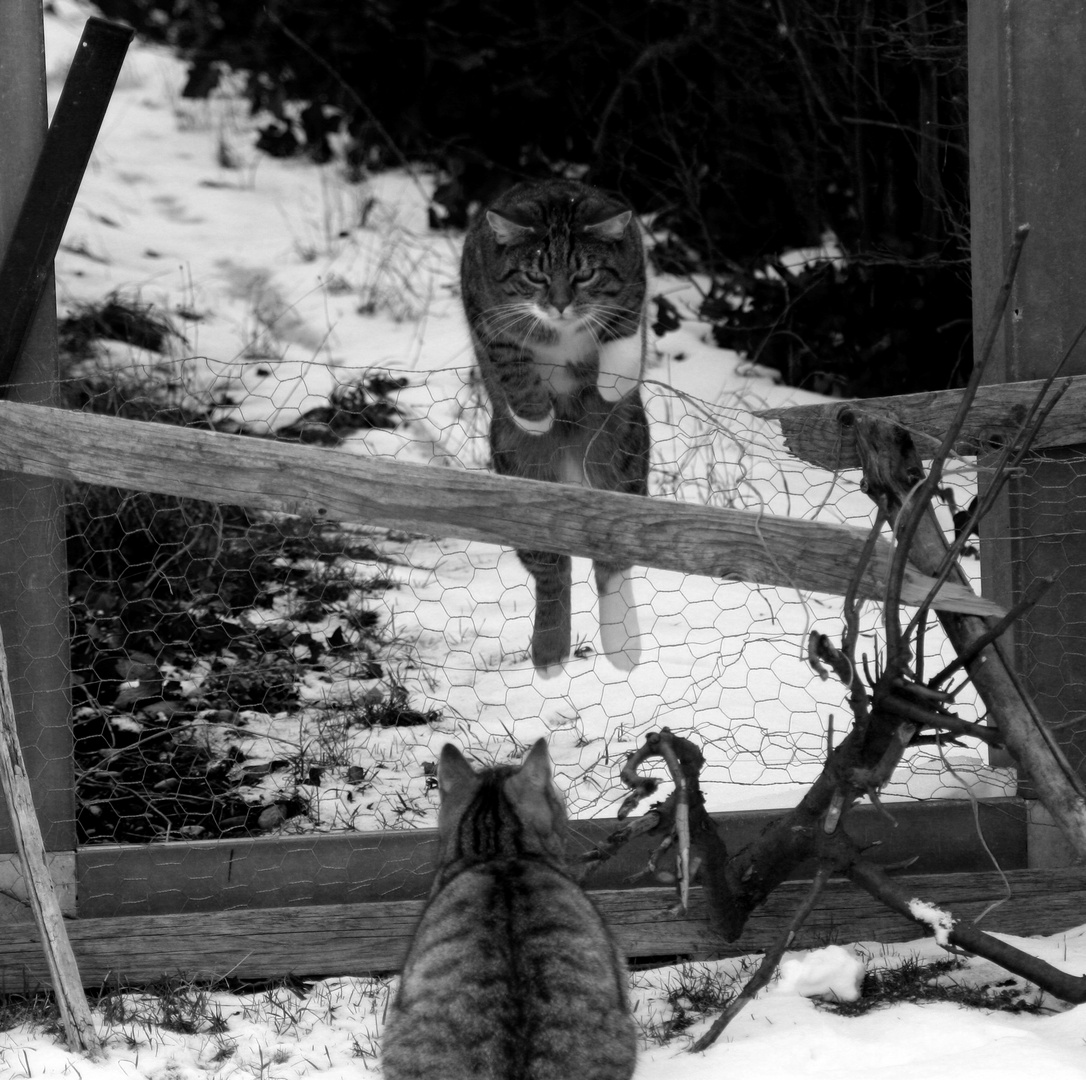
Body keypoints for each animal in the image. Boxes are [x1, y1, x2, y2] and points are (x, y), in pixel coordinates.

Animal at [460, 179, 651, 664]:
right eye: (536, 277)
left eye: (584, 276)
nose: (561, 305)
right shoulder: (482, 299)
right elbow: (507, 356)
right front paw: (534, 413)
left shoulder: (635, 264)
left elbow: (624, 321)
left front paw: (616, 375)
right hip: (516, 472)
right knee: (552, 569)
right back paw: (550, 652)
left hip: (624, 451)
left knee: (613, 558)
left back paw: (622, 643)